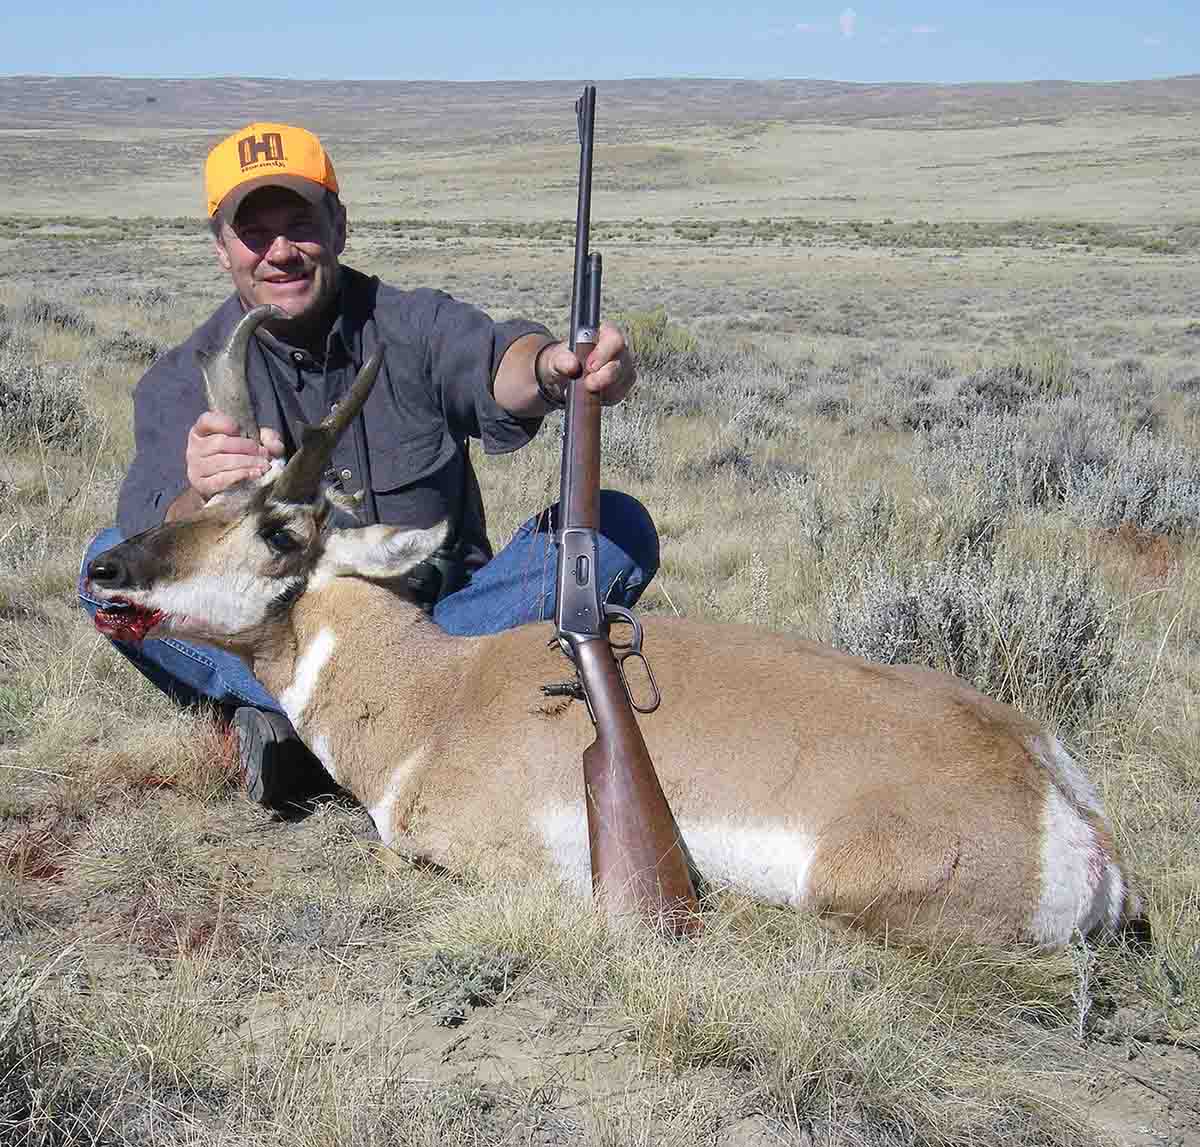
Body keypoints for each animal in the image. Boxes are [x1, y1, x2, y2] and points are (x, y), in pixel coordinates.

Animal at [87, 304, 1142, 950]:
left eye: (278, 531)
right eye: (202, 496)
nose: (104, 571)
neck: (437, 694)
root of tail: (1062, 799)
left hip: (842, 887)